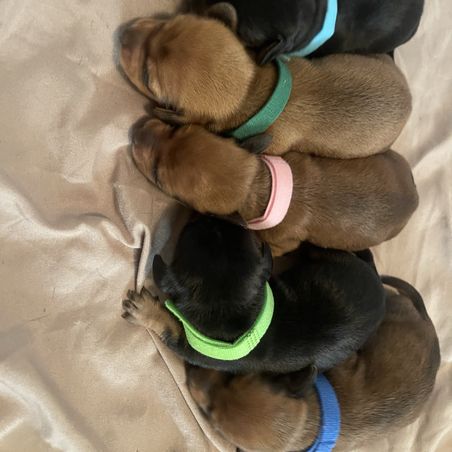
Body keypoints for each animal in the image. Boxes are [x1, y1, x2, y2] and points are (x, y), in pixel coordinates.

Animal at [122, 215, 385, 373]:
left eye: (189, 228)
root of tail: (380, 287)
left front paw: (144, 309)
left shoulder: (193, 348)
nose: (208, 214)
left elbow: (171, 327)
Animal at [131, 118, 419, 256]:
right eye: (177, 130)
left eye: (158, 177)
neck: (257, 186)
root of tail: (415, 199)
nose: (136, 131)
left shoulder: (281, 243)